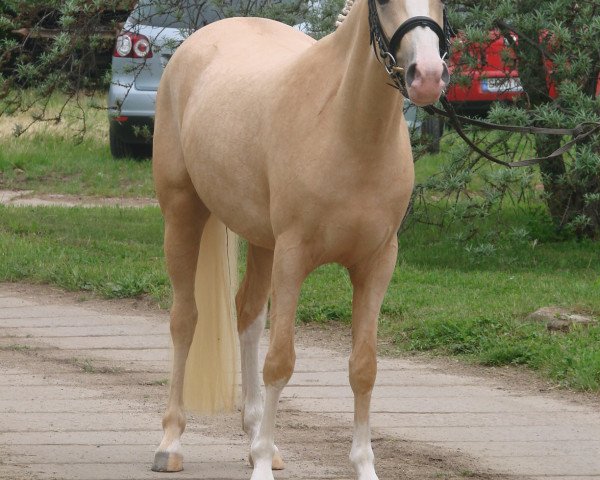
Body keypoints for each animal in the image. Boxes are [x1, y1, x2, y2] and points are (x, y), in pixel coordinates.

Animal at [152, 0, 448, 478]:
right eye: (383, 4)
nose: (427, 76)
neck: (343, 127)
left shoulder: (376, 265)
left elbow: (363, 367)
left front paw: (363, 465)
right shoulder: (292, 258)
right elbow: (280, 362)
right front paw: (259, 467)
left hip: (261, 242)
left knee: (248, 315)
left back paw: (259, 438)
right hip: (183, 214)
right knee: (185, 320)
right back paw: (171, 443)